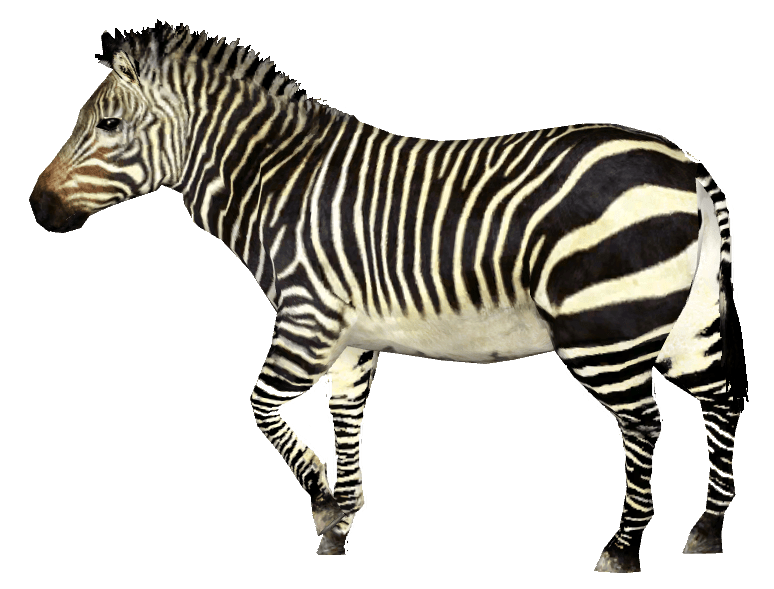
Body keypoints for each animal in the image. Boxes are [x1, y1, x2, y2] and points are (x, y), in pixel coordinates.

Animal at [29, 22, 748, 572]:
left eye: (109, 123)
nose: (35, 205)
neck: (273, 181)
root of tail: (687, 164)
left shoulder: (307, 318)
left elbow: (261, 406)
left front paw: (324, 504)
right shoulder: (351, 338)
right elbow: (346, 423)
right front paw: (342, 520)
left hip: (604, 326)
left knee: (646, 422)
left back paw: (624, 547)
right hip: (678, 323)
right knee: (721, 398)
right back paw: (708, 530)